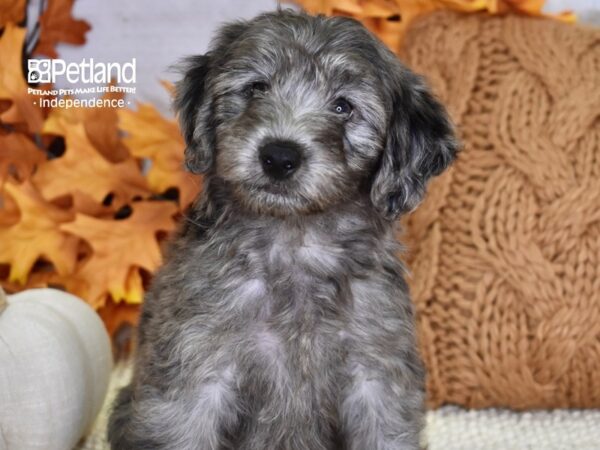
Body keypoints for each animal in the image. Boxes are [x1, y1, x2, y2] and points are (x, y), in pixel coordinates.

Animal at [108, 7, 458, 450]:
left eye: (343, 107)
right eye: (257, 87)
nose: (278, 156)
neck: (295, 243)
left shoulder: (378, 376)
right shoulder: (194, 370)